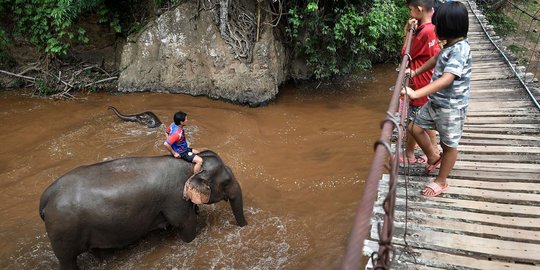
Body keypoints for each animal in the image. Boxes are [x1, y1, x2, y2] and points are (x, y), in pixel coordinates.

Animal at [38, 150, 247, 270]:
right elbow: (186, 225)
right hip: (64, 232)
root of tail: (45, 198)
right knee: (68, 261)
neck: (192, 165)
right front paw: (190, 240)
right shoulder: (175, 198)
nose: (244, 227)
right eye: (226, 182)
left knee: (100, 251)